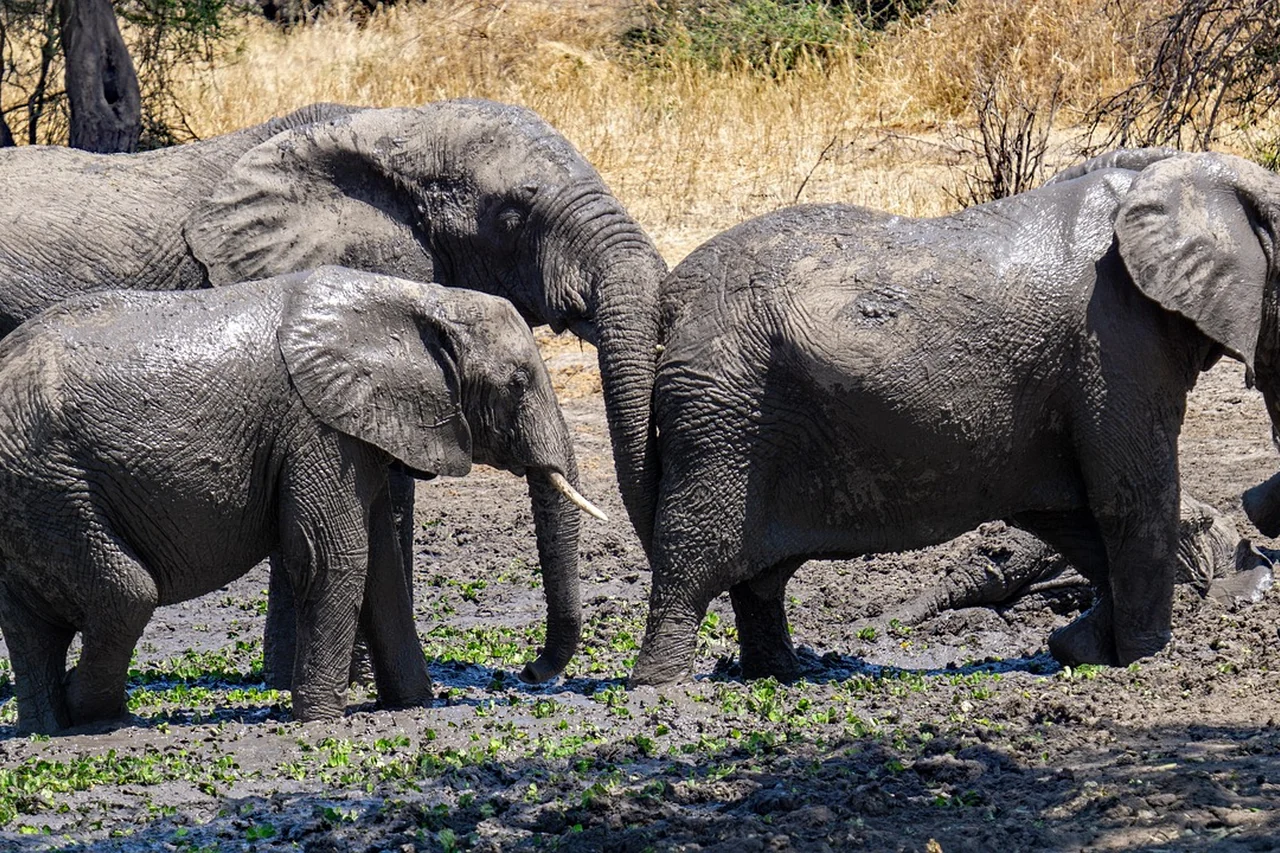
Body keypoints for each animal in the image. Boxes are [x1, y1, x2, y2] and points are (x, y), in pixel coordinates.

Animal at [0, 267, 605, 735]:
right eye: (519, 382)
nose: (529, 673)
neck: (415, 300)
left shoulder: (356, 429)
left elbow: (382, 570)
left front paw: (413, 704)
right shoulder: (315, 427)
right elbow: (334, 558)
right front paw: (320, 721)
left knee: (30, 622)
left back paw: (46, 727)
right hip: (52, 482)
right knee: (126, 593)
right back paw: (95, 715)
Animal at [629, 150, 1280, 685]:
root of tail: (673, 295)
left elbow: (1068, 511)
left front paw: (1082, 647)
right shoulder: (1116, 341)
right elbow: (1133, 497)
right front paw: (1147, 660)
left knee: (759, 577)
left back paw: (782, 673)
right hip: (723, 407)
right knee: (692, 556)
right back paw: (664, 688)